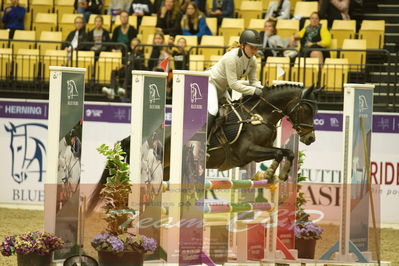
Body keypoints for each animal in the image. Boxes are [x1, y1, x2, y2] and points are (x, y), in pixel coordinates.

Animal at [86, 84, 318, 213]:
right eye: (306, 109)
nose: (310, 138)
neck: (260, 115)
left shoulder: (258, 152)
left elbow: (287, 152)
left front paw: (280, 174)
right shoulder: (247, 152)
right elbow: (279, 152)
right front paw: (270, 174)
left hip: (166, 171)